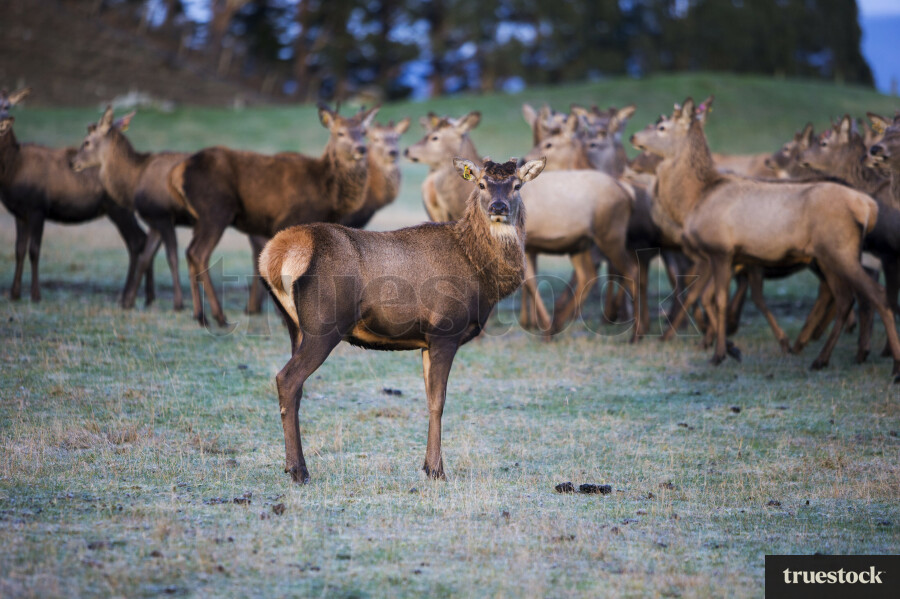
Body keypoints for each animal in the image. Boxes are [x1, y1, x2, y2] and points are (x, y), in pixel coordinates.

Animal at [0, 88, 151, 305]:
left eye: (7, 105)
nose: (4, 119)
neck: (13, 169)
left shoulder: (37, 207)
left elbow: (34, 250)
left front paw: (36, 295)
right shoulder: (20, 213)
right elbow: (19, 250)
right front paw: (14, 294)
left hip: (119, 209)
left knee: (137, 241)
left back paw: (128, 295)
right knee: (139, 240)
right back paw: (139, 296)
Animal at [169, 104, 378, 327]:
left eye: (363, 132)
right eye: (340, 133)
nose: (360, 149)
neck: (328, 193)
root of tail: (178, 172)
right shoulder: (291, 218)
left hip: (201, 217)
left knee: (190, 252)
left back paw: (200, 316)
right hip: (215, 209)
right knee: (199, 253)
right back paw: (219, 316)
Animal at [258, 157, 546, 483]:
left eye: (517, 185)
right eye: (482, 184)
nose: (499, 206)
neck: (480, 273)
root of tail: (273, 257)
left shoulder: (426, 341)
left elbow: (429, 399)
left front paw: (427, 466)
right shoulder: (445, 329)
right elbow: (438, 401)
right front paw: (437, 470)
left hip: (294, 325)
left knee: (296, 388)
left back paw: (289, 465)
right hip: (324, 324)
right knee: (287, 379)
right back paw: (299, 470)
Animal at [631, 97, 900, 383]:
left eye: (661, 127)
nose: (633, 136)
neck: (694, 201)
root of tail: (868, 205)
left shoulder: (721, 250)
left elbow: (718, 300)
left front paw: (719, 354)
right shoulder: (713, 256)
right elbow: (697, 296)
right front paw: (725, 347)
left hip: (840, 250)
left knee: (877, 295)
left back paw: (891, 364)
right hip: (828, 257)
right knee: (845, 300)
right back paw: (820, 359)